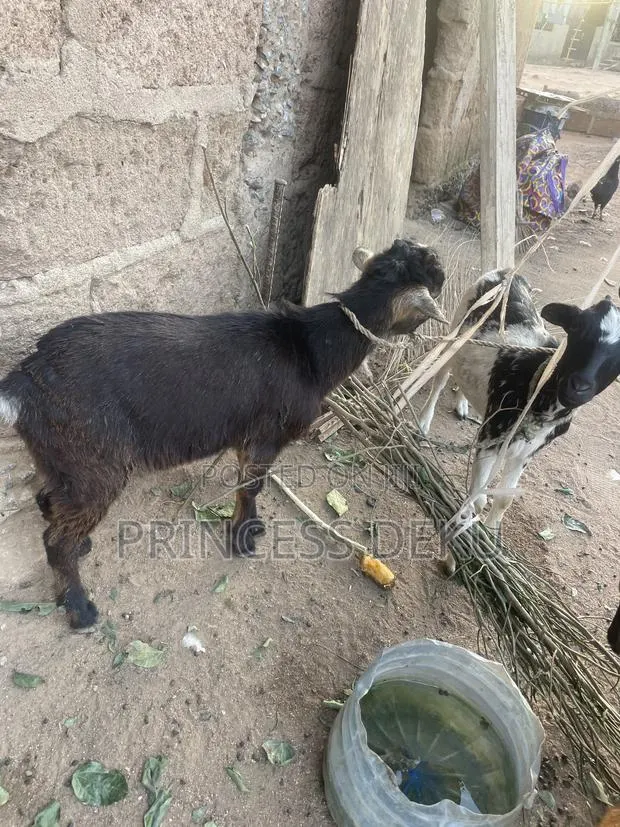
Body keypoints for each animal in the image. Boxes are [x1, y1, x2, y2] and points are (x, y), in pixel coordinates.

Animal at [0, 239, 446, 630]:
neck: (310, 347)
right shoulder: (265, 436)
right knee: (55, 539)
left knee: (48, 502)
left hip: (64, 461)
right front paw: (243, 536)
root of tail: (26, 380)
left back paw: (79, 548)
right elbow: (251, 486)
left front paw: (250, 526)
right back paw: (79, 608)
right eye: (435, 279)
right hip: (96, 467)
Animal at [418, 271, 620, 564]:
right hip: (457, 332)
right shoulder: (490, 437)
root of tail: (506, 273)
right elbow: (478, 497)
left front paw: (492, 541)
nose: (578, 386)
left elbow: (504, 500)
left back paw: (463, 404)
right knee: (440, 377)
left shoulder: (527, 452)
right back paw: (423, 422)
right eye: (577, 328)